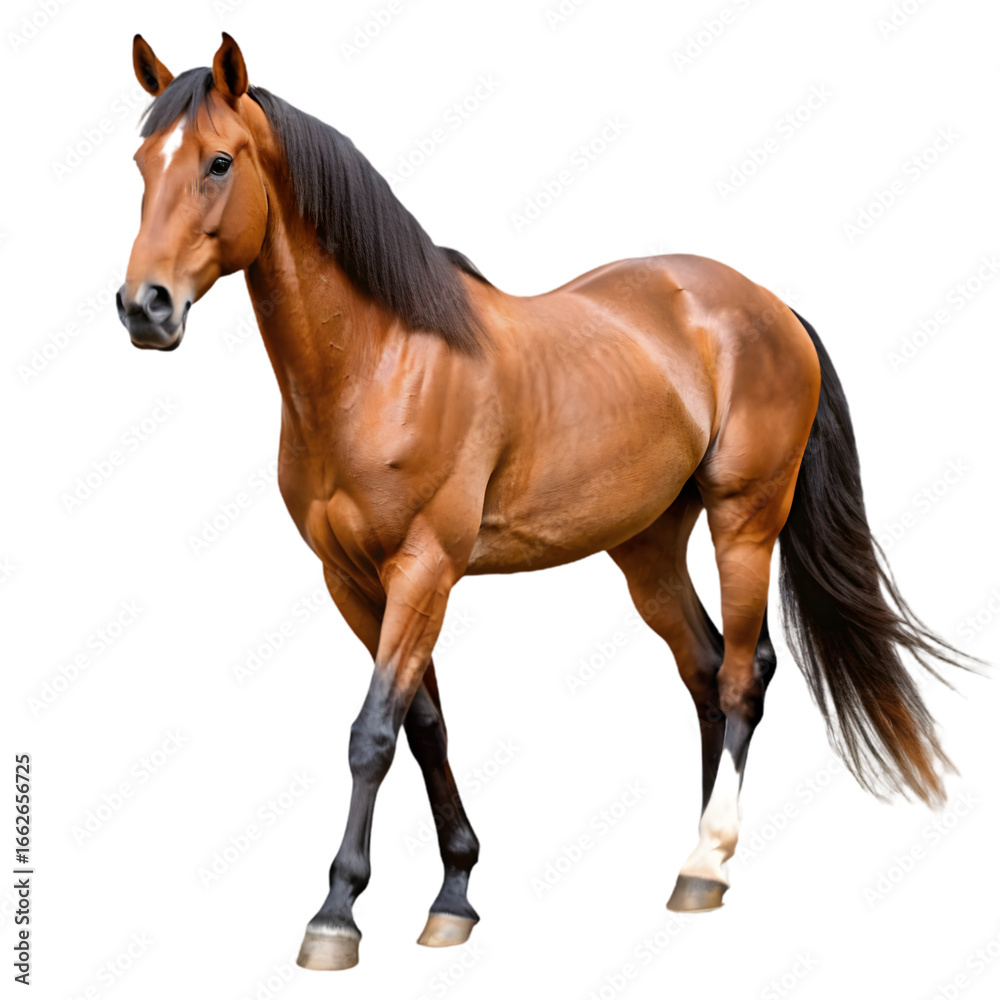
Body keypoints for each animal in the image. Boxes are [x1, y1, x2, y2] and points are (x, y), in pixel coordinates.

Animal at [117, 33, 977, 971]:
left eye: (218, 161)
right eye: (141, 163)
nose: (143, 307)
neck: (383, 363)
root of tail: (767, 305)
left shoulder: (425, 569)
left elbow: (372, 734)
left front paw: (336, 914)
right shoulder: (352, 581)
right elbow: (424, 726)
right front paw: (454, 894)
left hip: (745, 521)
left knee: (745, 675)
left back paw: (707, 861)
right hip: (646, 548)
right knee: (706, 671)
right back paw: (691, 862)